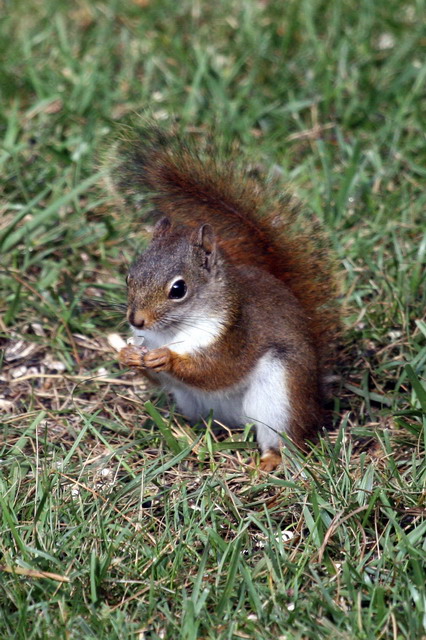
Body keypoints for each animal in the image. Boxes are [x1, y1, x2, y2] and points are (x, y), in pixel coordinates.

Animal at [111, 124, 340, 471]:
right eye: (129, 276)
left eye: (178, 289)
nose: (135, 320)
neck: (170, 333)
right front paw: (127, 355)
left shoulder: (236, 335)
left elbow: (217, 370)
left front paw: (167, 359)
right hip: (193, 403)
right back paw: (188, 437)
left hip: (280, 397)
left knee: (286, 440)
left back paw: (268, 461)